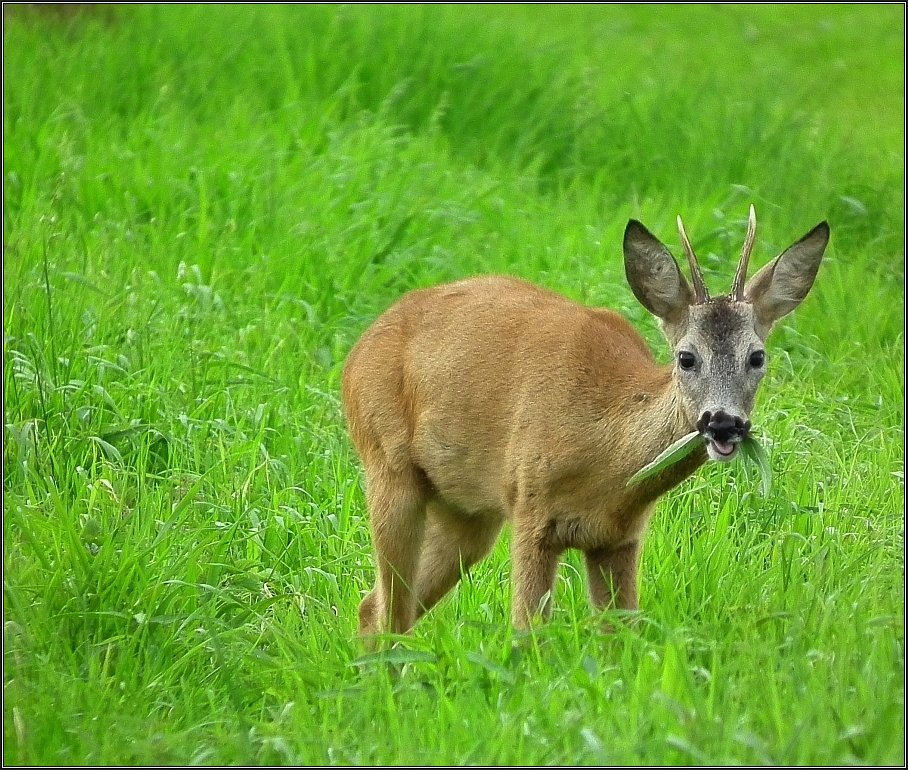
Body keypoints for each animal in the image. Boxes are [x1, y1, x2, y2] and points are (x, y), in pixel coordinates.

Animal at [342, 206, 828, 636]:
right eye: (686, 358)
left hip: (466, 510)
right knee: (389, 609)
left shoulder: (618, 539)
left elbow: (623, 638)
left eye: (757, 357)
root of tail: (358, 351)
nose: (723, 423)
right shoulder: (531, 507)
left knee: (377, 607)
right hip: (387, 463)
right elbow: (528, 634)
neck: (606, 463)